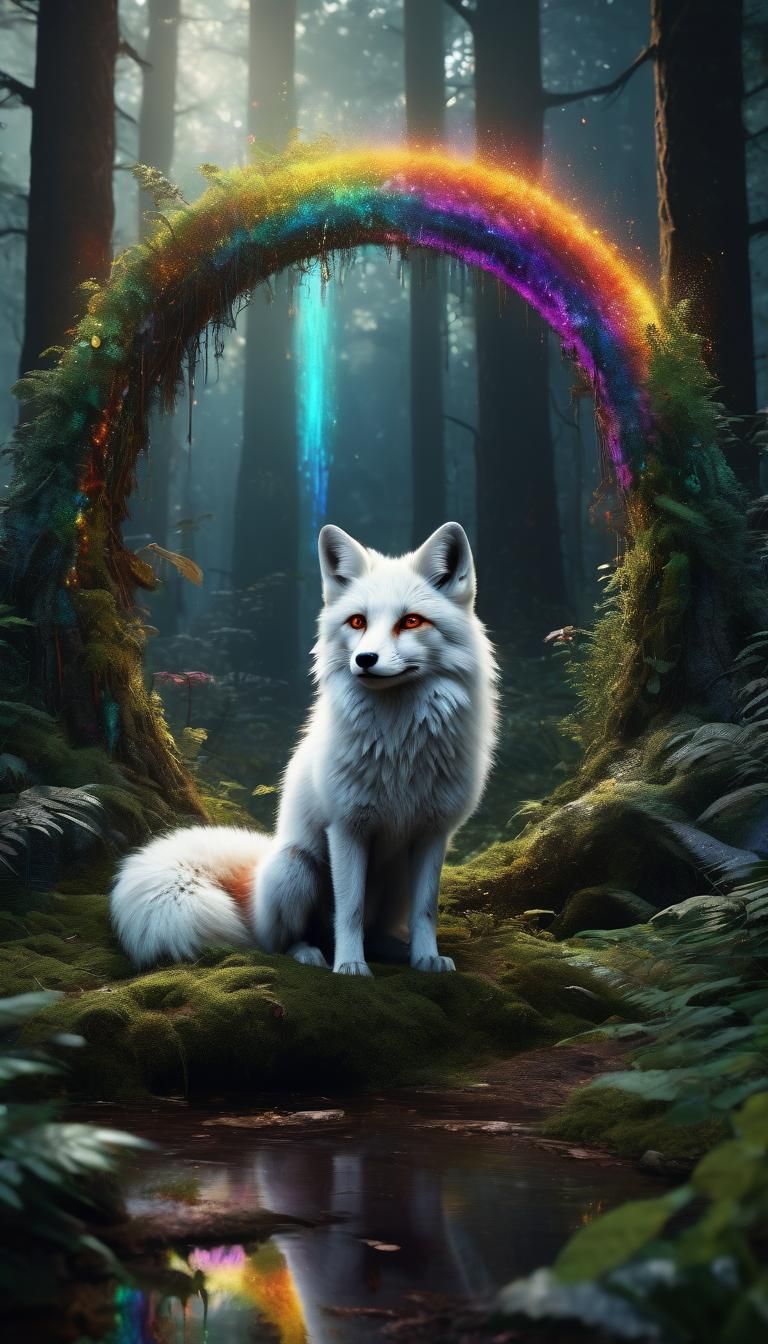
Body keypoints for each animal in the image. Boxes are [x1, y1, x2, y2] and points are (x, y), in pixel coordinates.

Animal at [110, 521, 498, 976]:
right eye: (357, 621)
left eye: (411, 621)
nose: (365, 659)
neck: (399, 747)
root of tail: (259, 874)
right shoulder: (347, 828)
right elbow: (349, 910)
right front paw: (350, 966)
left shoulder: (433, 833)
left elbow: (427, 911)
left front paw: (426, 958)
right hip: (298, 868)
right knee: (278, 941)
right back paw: (312, 953)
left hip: (395, 882)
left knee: (375, 930)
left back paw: (393, 949)